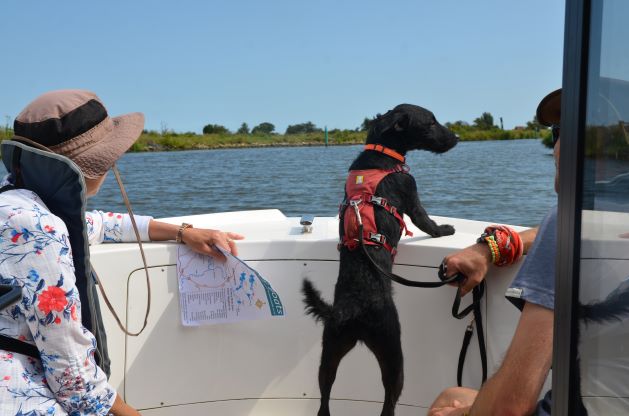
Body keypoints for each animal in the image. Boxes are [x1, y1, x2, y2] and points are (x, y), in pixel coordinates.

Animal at [302, 104, 458, 416]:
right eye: (431, 122)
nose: (457, 137)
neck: (382, 153)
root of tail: (351, 311)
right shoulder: (412, 195)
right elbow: (428, 222)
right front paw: (446, 229)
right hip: (392, 352)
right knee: (389, 401)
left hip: (330, 352)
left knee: (324, 401)